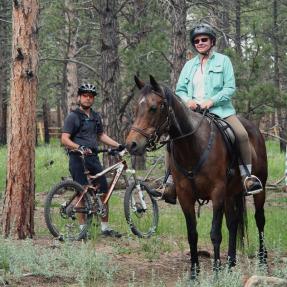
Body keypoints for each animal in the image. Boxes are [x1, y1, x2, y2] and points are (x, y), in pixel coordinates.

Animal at [125, 75, 268, 278]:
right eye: (137, 108)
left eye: (153, 108)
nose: (132, 144)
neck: (193, 145)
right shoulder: (185, 196)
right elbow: (192, 234)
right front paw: (194, 272)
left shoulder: (217, 193)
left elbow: (215, 233)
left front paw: (216, 272)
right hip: (231, 194)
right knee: (233, 223)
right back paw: (231, 263)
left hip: (257, 189)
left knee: (259, 220)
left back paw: (262, 261)